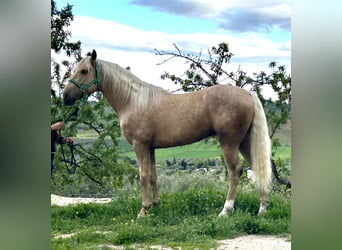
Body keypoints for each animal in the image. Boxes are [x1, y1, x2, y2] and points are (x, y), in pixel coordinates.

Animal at [62, 49, 272, 218]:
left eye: (84, 71)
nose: (65, 97)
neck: (133, 101)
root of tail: (248, 94)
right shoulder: (151, 148)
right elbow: (153, 176)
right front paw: (155, 204)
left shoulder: (140, 145)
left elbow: (143, 175)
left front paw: (143, 210)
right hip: (244, 142)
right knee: (256, 168)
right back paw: (262, 209)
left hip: (229, 143)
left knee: (235, 172)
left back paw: (225, 211)